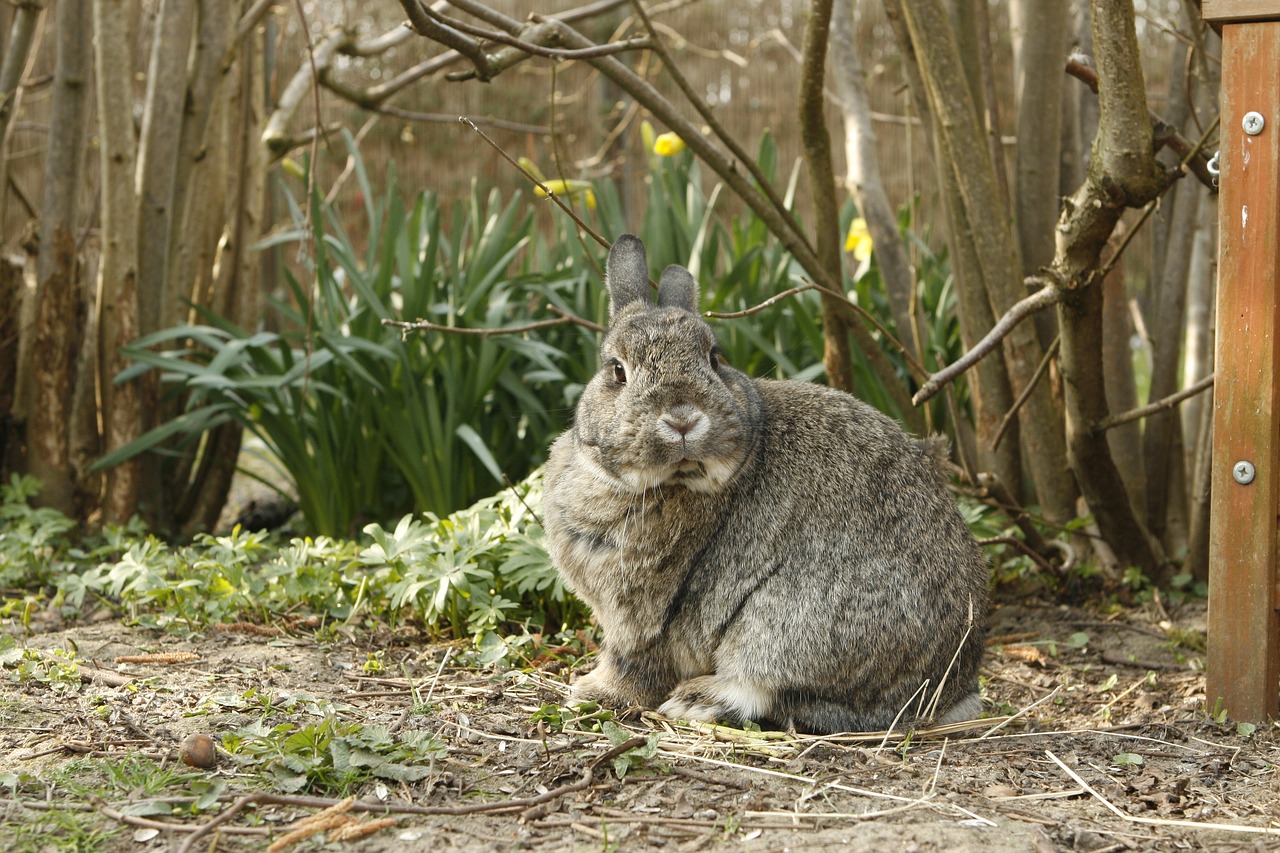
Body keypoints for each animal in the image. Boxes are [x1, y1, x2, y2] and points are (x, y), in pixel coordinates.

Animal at [542, 230, 988, 732]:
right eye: (618, 371)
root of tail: (949, 690)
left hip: (787, 620)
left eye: (713, 358)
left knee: (761, 686)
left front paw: (592, 693)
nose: (682, 418)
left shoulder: (642, 619)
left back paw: (697, 699)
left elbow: (632, 665)